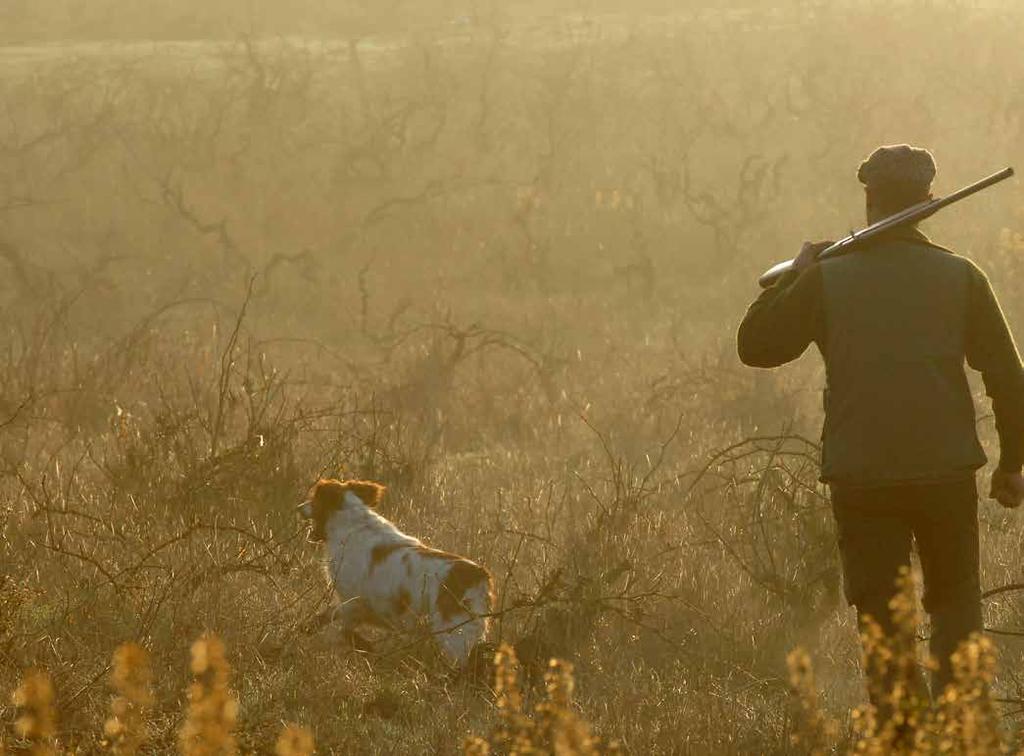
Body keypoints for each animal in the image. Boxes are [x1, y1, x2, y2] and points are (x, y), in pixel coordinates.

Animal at [294, 479, 493, 663]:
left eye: (314, 498)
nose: (298, 507)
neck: (354, 525)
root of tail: (479, 576)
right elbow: (332, 618)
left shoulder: (354, 601)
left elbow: (343, 627)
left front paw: (365, 646)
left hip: (454, 638)